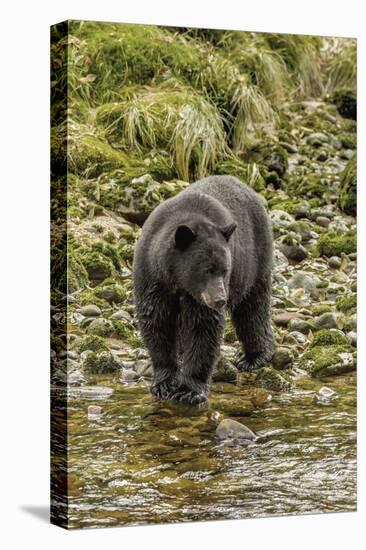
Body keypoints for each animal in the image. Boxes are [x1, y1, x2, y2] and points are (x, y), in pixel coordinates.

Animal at [133, 176, 274, 406]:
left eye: (225, 270)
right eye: (207, 270)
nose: (220, 300)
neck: (177, 280)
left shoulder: (200, 296)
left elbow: (203, 327)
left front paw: (189, 391)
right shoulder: (153, 277)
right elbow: (156, 320)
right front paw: (164, 383)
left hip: (255, 259)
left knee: (253, 307)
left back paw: (253, 357)